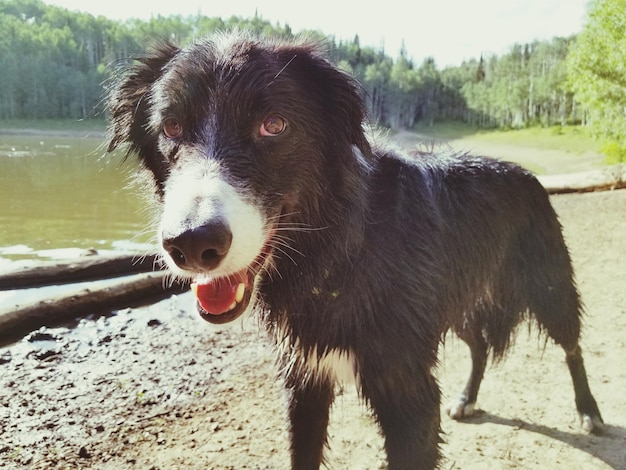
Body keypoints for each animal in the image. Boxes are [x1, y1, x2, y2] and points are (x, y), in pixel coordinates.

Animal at [106, 32, 600, 466]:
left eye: (274, 125)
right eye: (171, 127)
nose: (191, 242)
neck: (339, 251)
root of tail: (526, 172)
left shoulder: (409, 396)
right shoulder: (305, 382)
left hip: (550, 286)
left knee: (572, 346)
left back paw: (589, 412)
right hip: (456, 301)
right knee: (479, 345)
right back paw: (467, 397)